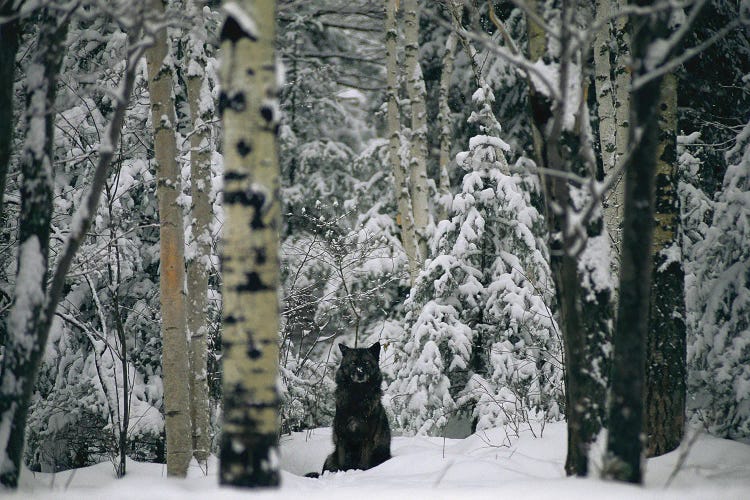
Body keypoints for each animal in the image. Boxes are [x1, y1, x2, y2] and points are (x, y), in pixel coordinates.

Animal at [324, 342, 394, 474]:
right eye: (353, 363)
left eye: (366, 363)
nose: (360, 373)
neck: (357, 395)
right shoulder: (342, 438)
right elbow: (343, 463)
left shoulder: (367, 439)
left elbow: (364, 463)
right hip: (330, 458)